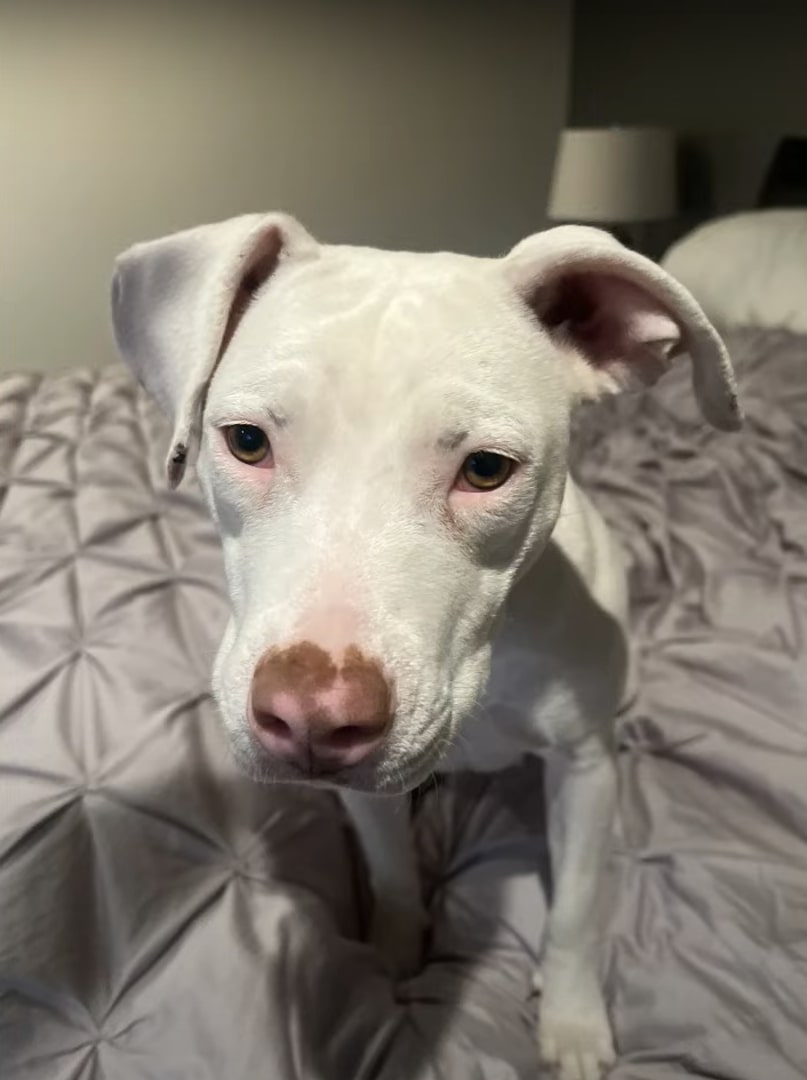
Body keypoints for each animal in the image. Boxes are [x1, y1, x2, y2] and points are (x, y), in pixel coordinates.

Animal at [110, 212, 743, 1080]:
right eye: (244, 441)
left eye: (486, 468)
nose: (312, 717)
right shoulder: (365, 795)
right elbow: (393, 871)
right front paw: (394, 948)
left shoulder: (583, 770)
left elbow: (576, 907)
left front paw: (572, 1018)